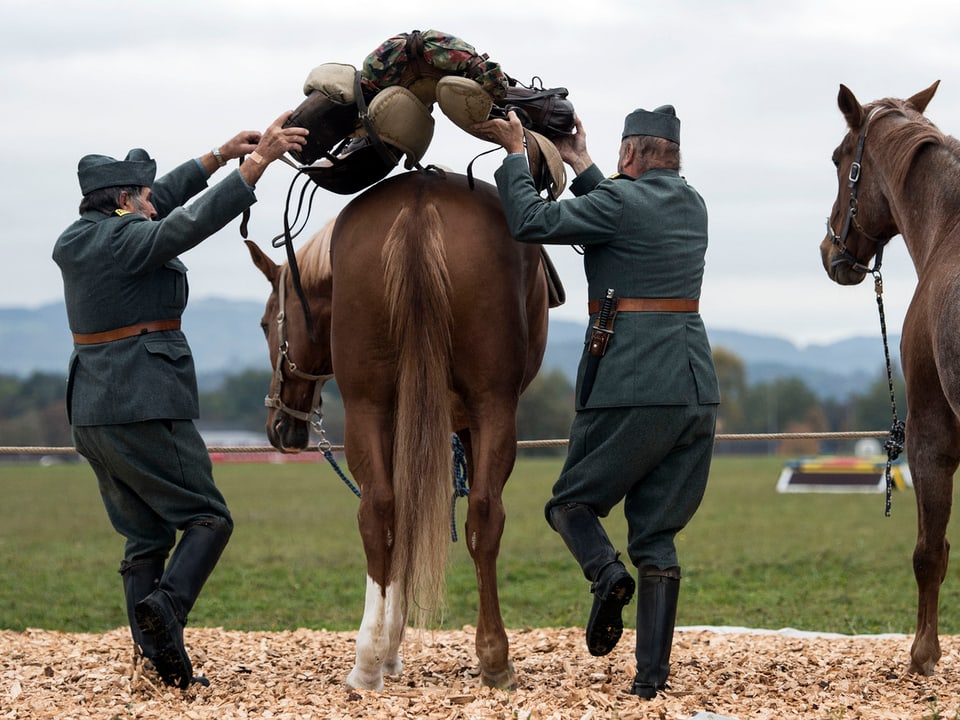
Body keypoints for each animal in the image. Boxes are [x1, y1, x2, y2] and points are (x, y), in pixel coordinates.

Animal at [246, 170, 548, 692]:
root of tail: (420, 199)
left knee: (380, 510)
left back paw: (369, 662)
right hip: (486, 405)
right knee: (478, 512)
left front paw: (388, 646)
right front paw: (392, 645)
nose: (280, 426)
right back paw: (487, 657)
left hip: (372, 404)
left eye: (266, 323)